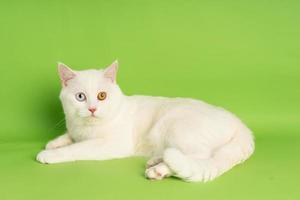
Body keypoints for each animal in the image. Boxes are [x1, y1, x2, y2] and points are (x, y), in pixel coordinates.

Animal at [36, 60, 254, 182]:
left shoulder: (110, 144)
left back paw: (159, 170)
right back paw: (155, 160)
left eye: (101, 96)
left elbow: (77, 148)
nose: (92, 109)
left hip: (173, 126)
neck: (86, 128)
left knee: (199, 155)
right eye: (80, 97)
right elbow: (70, 137)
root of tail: (241, 125)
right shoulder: (75, 129)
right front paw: (54, 143)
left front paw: (49, 154)